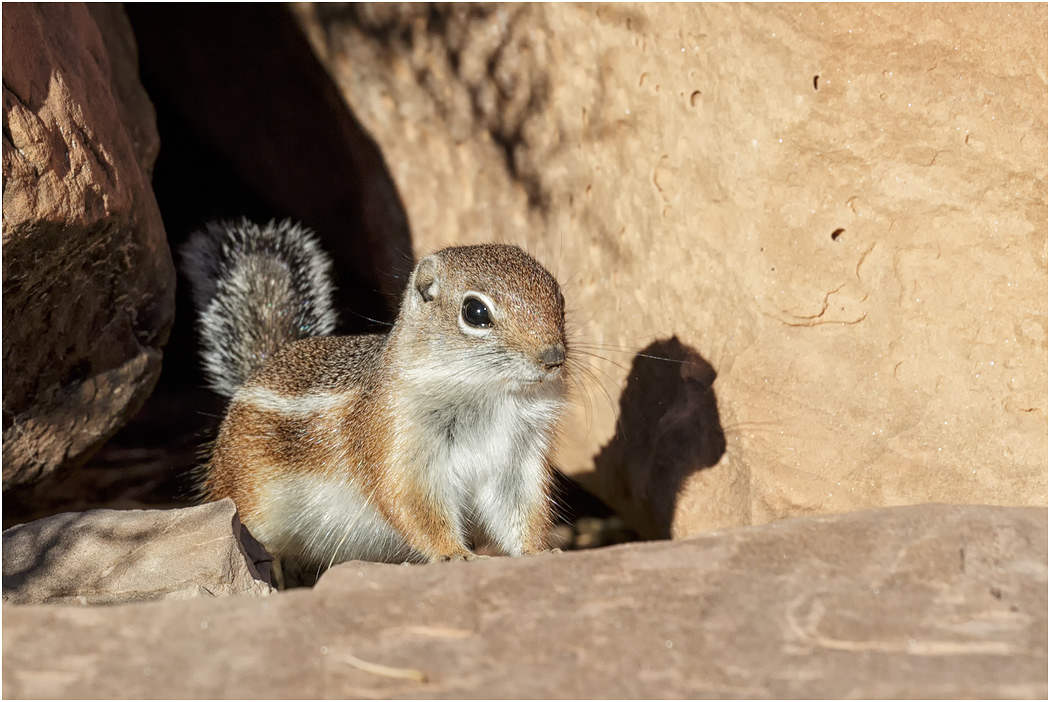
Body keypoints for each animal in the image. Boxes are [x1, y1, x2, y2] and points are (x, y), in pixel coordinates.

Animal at [181, 219, 570, 582]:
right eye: (475, 312)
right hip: (249, 502)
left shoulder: (517, 463)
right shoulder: (397, 446)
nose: (553, 357)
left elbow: (522, 512)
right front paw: (454, 554)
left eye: (560, 300)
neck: (493, 395)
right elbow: (414, 507)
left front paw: (538, 551)